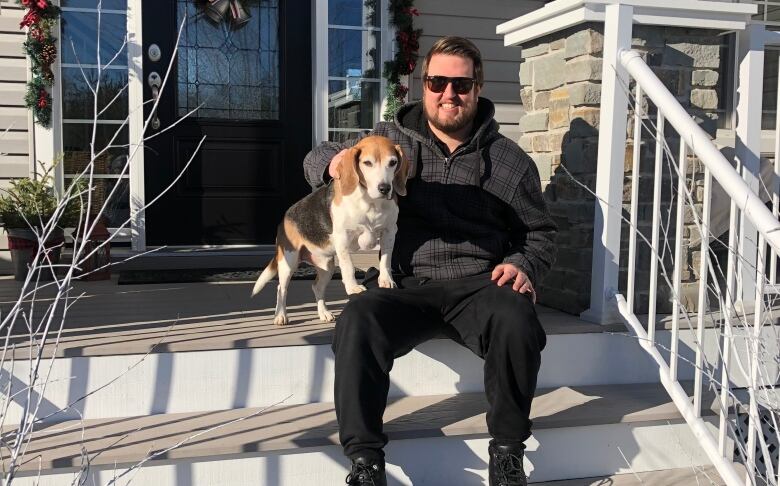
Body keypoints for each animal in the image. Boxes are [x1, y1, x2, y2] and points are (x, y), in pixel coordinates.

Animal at [250, 136, 412, 326]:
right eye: (367, 163)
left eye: (393, 162)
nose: (385, 188)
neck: (371, 202)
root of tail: (285, 217)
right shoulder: (343, 237)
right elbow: (348, 266)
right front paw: (353, 287)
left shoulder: (389, 232)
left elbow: (386, 259)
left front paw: (386, 280)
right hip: (288, 262)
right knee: (281, 288)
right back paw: (280, 315)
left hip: (326, 265)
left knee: (317, 287)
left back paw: (324, 313)